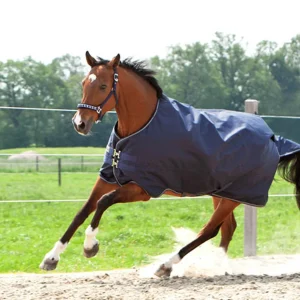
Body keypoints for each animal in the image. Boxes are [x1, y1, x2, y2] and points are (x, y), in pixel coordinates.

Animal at [39, 51, 300, 276]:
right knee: (227, 229)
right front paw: (51, 258)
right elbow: (83, 211)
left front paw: (90, 247)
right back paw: (213, 265)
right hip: (221, 193)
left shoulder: (143, 188)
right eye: (84, 83)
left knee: (210, 229)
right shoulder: (108, 177)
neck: (138, 129)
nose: (80, 123)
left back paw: (167, 266)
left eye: (103, 86)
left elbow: (103, 203)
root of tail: (273, 138)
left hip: (234, 196)